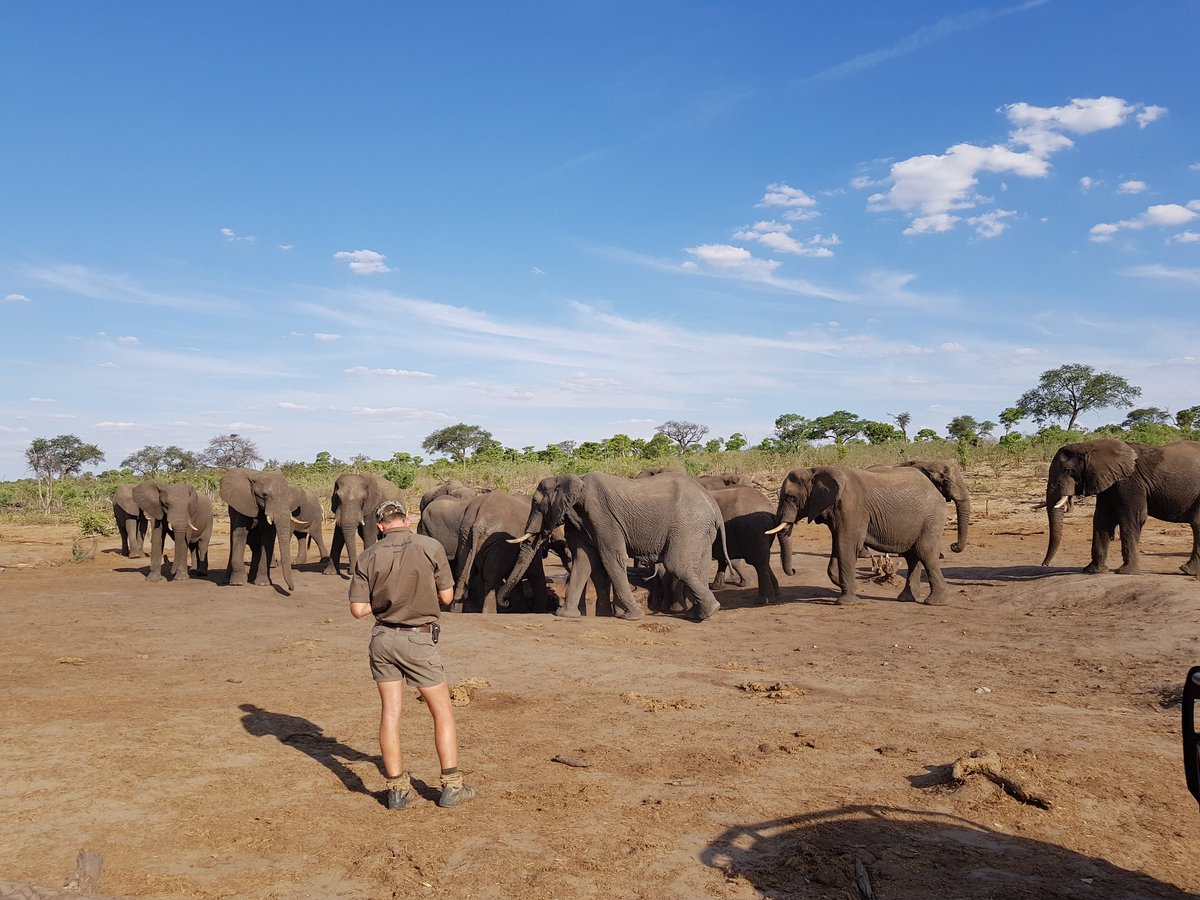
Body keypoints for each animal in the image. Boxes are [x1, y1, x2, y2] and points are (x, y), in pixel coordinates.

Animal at [503, 472, 725, 621]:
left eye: (536, 504)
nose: (505, 603)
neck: (572, 479)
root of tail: (714, 505)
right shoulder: (583, 521)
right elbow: (583, 561)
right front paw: (566, 614)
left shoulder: (602, 516)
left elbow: (611, 557)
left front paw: (632, 616)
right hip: (700, 530)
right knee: (700, 567)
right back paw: (698, 614)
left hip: (688, 524)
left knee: (676, 564)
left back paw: (711, 609)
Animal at [769, 466, 949, 605]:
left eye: (790, 497)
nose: (794, 570)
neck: (814, 470)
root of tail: (935, 490)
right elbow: (838, 545)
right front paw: (842, 584)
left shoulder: (851, 507)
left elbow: (846, 544)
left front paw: (846, 602)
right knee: (911, 556)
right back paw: (906, 599)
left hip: (932, 517)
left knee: (925, 552)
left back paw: (935, 602)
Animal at [1041, 439, 1200, 575]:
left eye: (1068, 471)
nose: (1045, 564)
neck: (1091, 445)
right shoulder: (1108, 482)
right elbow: (1102, 519)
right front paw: (1093, 571)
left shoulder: (1130, 481)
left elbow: (1132, 517)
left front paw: (1126, 572)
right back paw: (1189, 571)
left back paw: (1187, 571)